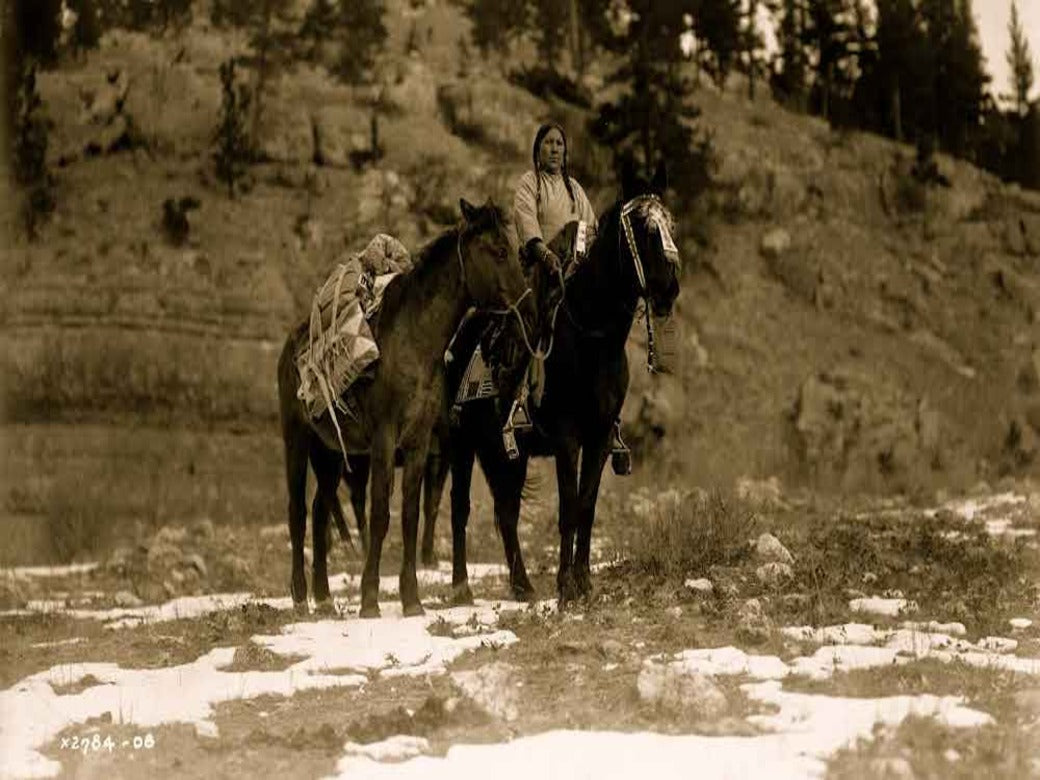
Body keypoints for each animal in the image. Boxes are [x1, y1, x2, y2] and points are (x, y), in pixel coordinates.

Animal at [277, 199, 535, 617]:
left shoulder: (417, 444)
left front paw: (411, 598)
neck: (412, 341)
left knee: (318, 511)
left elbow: (411, 514)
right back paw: (300, 596)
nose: (527, 310)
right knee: (298, 511)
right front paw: (369, 599)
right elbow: (382, 512)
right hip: (297, 441)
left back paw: (325, 597)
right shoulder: (385, 440)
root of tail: (292, 344)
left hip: (331, 452)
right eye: (498, 251)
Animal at [447, 162, 681, 605]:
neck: (592, 339)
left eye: (671, 225)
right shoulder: (567, 437)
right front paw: (566, 585)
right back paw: (462, 586)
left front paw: (584, 581)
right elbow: (569, 507)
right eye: (645, 230)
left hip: (506, 450)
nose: (670, 288)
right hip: (461, 444)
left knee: (506, 511)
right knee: (459, 507)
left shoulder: (599, 437)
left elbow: (586, 506)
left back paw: (522, 585)